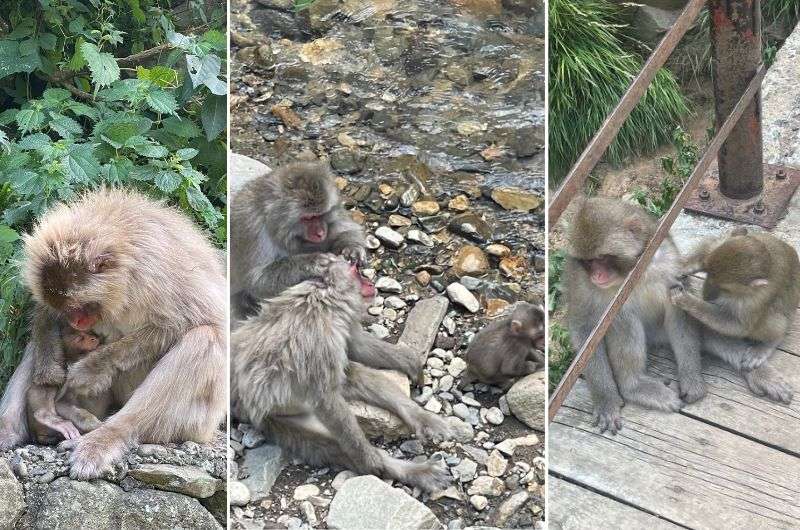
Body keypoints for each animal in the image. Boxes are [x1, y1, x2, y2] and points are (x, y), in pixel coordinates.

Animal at [0, 188, 227, 476]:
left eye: (80, 306)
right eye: (66, 308)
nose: (77, 323)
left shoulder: (158, 273)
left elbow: (192, 322)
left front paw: (92, 370)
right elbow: (47, 317)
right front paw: (48, 368)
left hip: (196, 423)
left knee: (205, 338)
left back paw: (107, 435)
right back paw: (24, 423)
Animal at [233, 256, 456, 490]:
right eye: (357, 271)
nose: (370, 282)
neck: (323, 302)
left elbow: (358, 347)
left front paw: (411, 362)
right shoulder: (318, 341)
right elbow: (325, 400)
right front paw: (371, 460)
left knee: (354, 376)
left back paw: (420, 418)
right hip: (275, 416)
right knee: (328, 439)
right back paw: (399, 468)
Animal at [564, 196, 708, 432]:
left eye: (602, 257)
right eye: (588, 261)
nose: (596, 275)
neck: (628, 274)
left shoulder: (667, 258)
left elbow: (677, 304)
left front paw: (691, 377)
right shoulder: (579, 279)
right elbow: (583, 328)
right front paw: (606, 400)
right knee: (622, 316)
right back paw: (633, 386)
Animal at [668, 227, 800, 400]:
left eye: (724, 287)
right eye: (707, 272)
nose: (711, 292)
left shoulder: (755, 299)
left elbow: (737, 325)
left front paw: (686, 300)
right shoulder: (720, 244)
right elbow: (708, 248)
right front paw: (684, 267)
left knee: (771, 317)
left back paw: (768, 344)